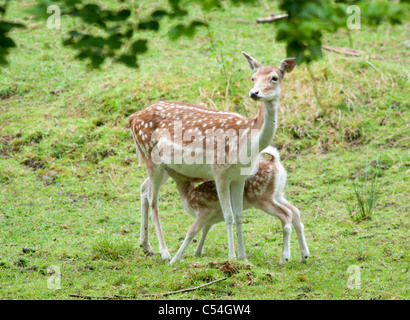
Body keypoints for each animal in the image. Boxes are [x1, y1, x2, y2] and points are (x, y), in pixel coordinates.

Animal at [130, 52, 296, 262]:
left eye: (274, 77)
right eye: (253, 78)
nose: (254, 93)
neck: (247, 141)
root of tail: (133, 118)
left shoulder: (239, 177)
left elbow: (239, 215)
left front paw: (243, 257)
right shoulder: (220, 172)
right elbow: (228, 215)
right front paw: (232, 257)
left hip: (167, 166)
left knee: (143, 188)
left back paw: (146, 246)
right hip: (151, 158)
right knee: (154, 201)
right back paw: (165, 252)